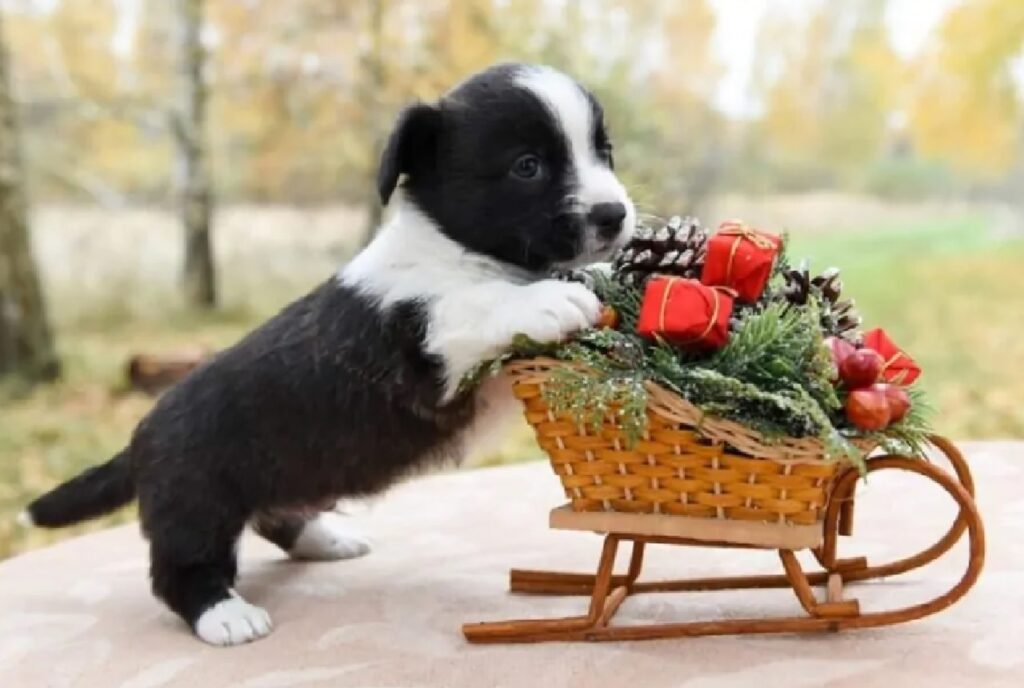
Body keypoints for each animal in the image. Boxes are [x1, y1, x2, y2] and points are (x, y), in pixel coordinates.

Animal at [18, 63, 630, 647]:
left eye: (605, 151)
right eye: (527, 167)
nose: (615, 214)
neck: (459, 248)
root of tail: (138, 439)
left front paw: (606, 274)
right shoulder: (428, 349)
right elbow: (474, 305)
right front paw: (550, 299)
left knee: (275, 518)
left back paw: (324, 538)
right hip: (196, 505)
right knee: (181, 572)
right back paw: (226, 616)